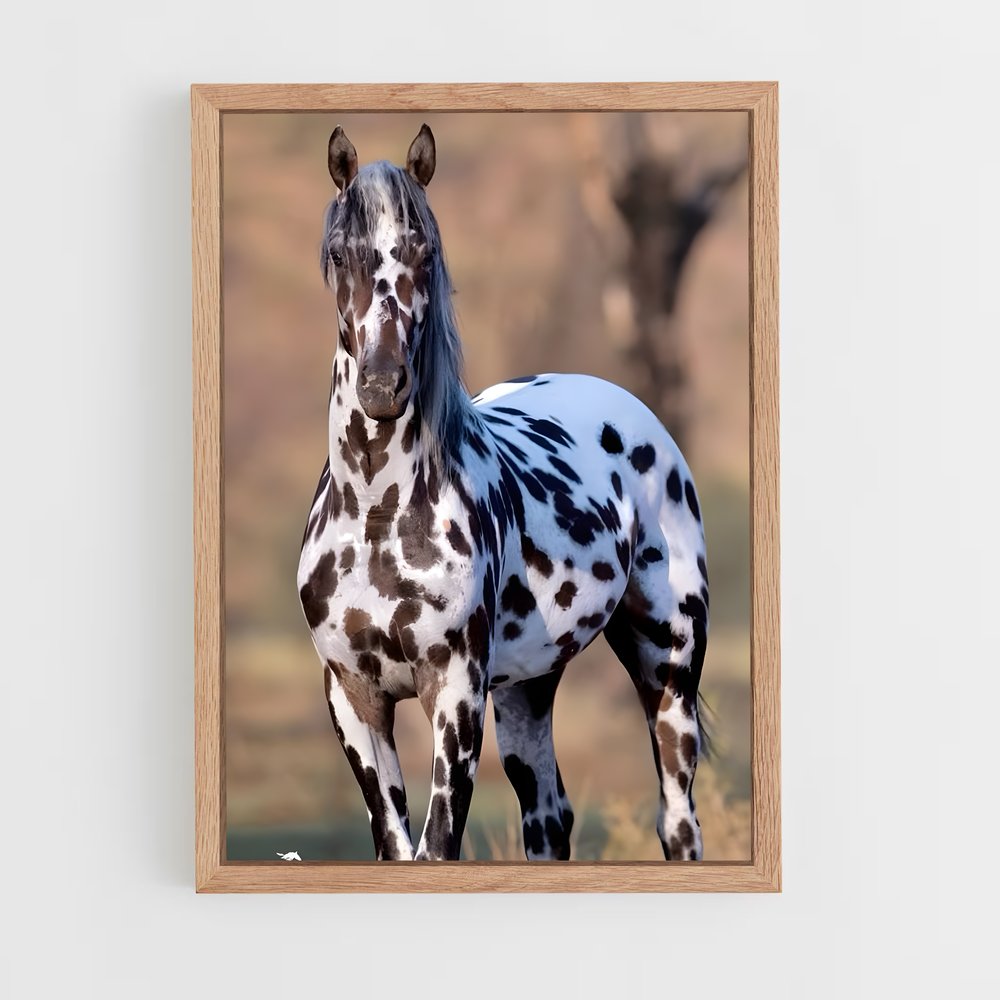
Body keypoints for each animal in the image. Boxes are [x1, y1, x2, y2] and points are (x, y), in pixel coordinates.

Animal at [297, 124, 710, 862]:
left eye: (425, 250)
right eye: (340, 252)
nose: (382, 385)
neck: (377, 517)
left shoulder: (455, 694)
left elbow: (436, 846)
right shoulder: (353, 697)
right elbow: (396, 847)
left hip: (669, 667)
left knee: (677, 819)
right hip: (528, 687)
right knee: (549, 816)